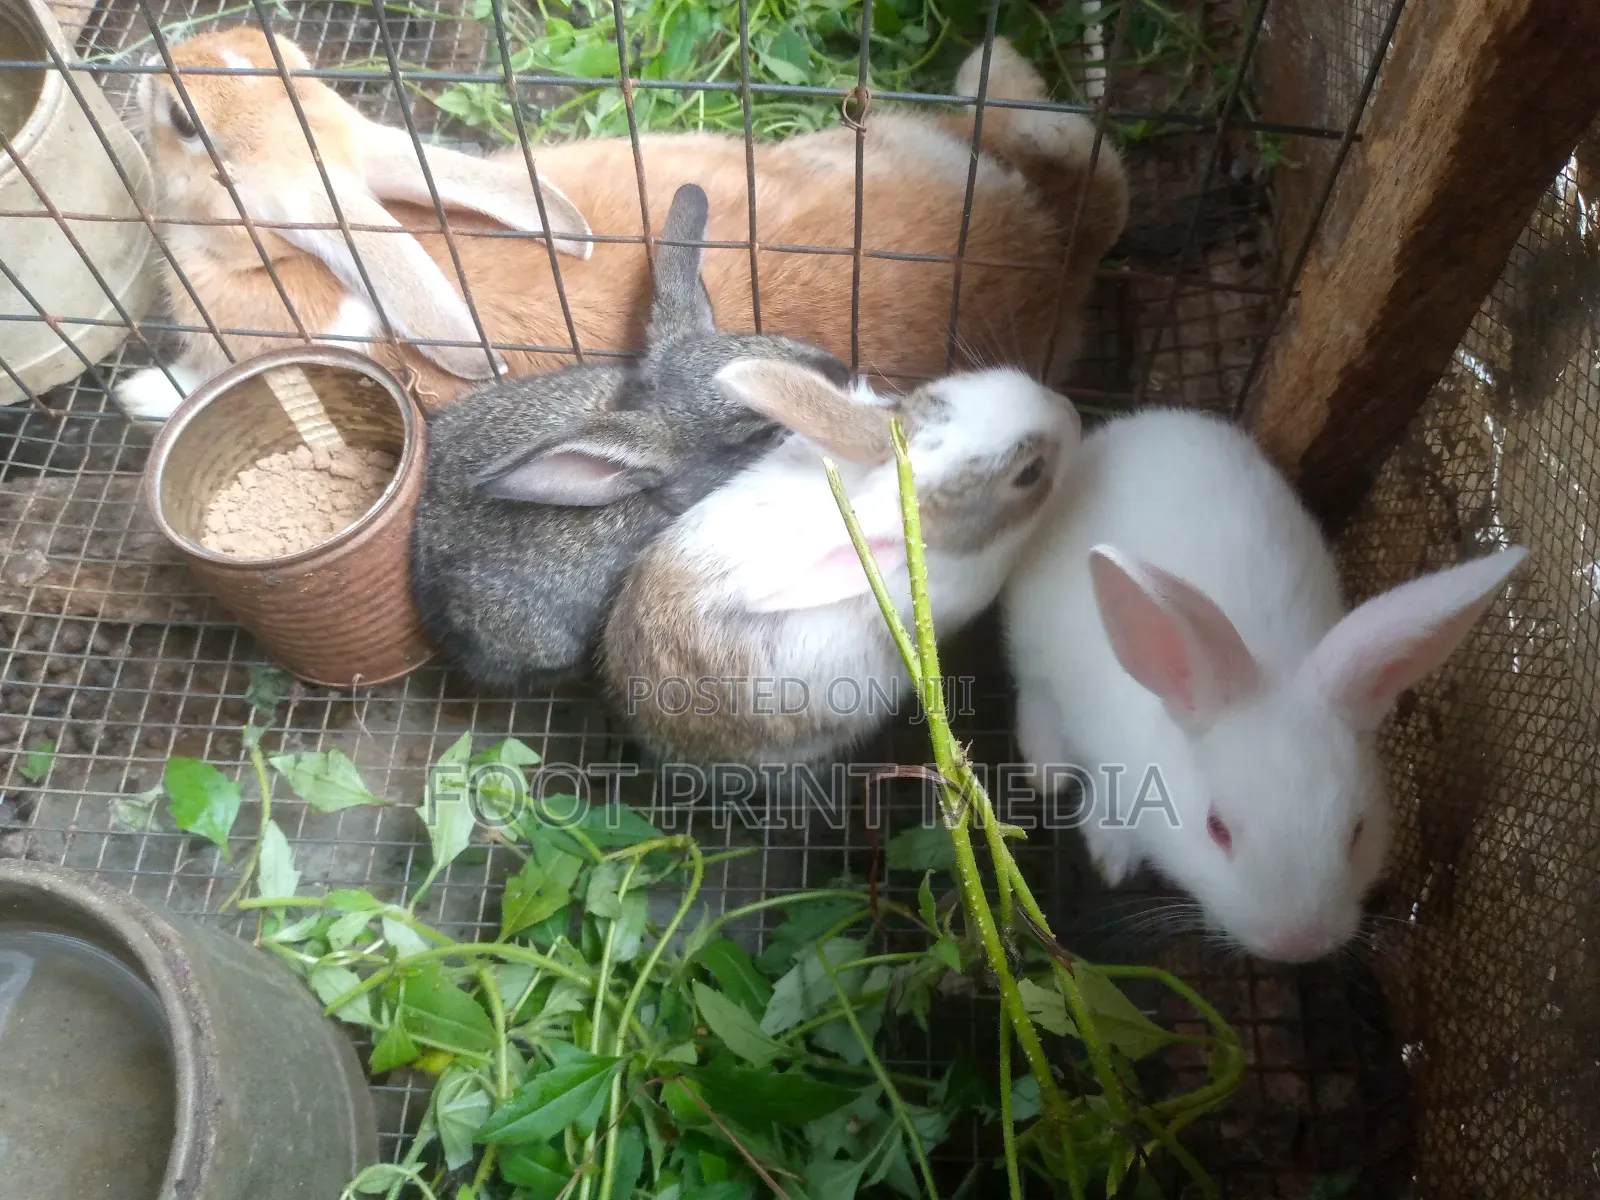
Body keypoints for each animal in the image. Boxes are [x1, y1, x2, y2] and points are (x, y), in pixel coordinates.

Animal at [113, 25, 1128, 421]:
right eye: (275, 49)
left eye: (185, 124)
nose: (151, 70)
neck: (275, 262)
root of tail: (1051, 259)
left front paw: (140, 395)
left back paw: (992, 66)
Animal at [1001, 406, 1529, 963]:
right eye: (1217, 830)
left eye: (1357, 831)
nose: (1296, 945)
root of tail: (1136, 424)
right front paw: (1113, 858)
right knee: (1034, 691)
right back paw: (1047, 770)